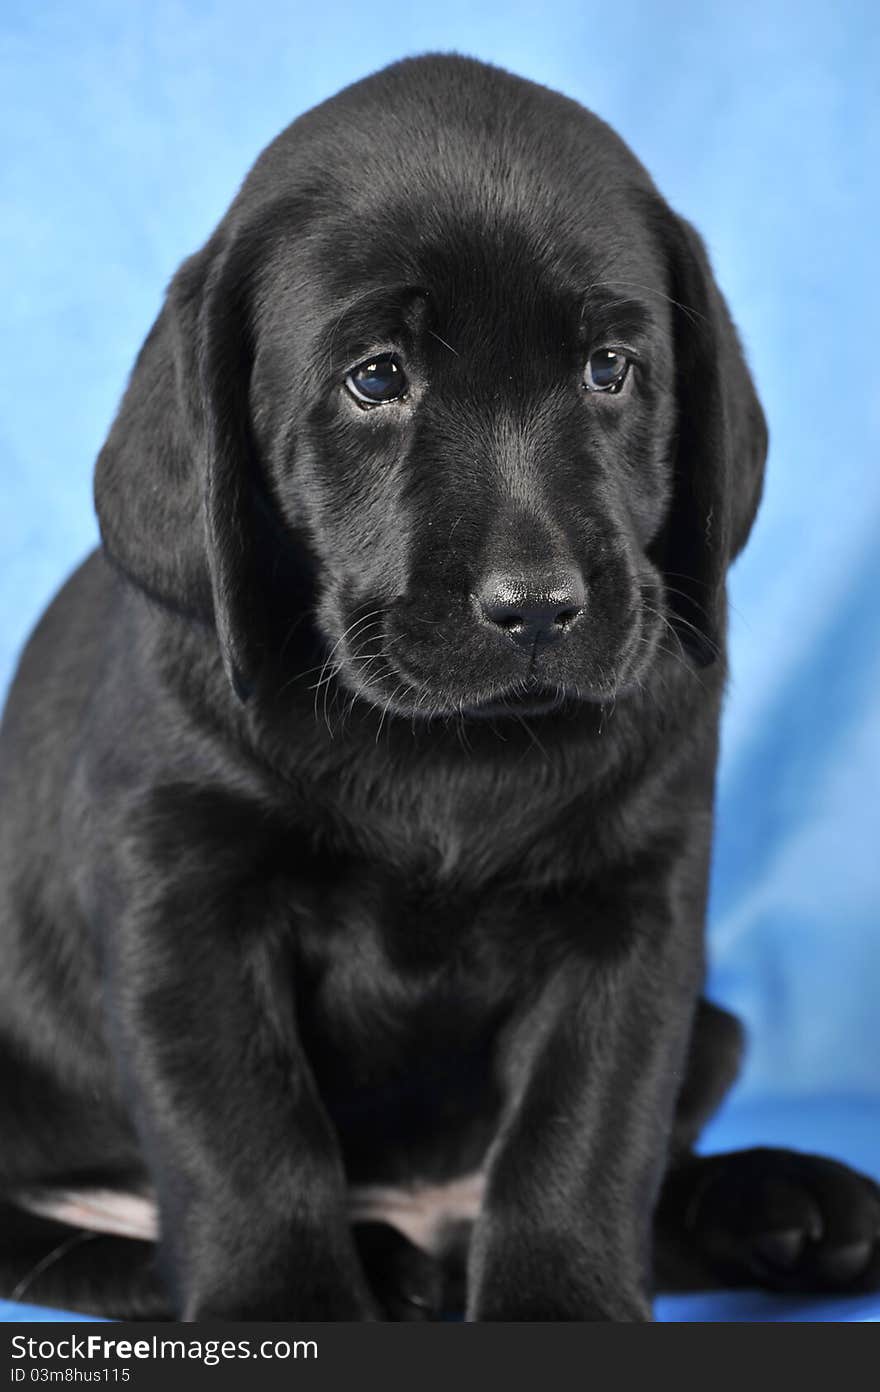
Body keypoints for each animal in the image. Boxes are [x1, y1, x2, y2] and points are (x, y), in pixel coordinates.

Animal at [1, 51, 880, 1314]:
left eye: (609, 370)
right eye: (376, 379)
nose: (536, 606)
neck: (446, 750)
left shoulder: (634, 912)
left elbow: (580, 1138)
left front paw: (561, 1303)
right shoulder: (184, 902)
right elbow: (245, 1139)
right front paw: (285, 1309)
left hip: (714, 1029)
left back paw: (787, 1207)